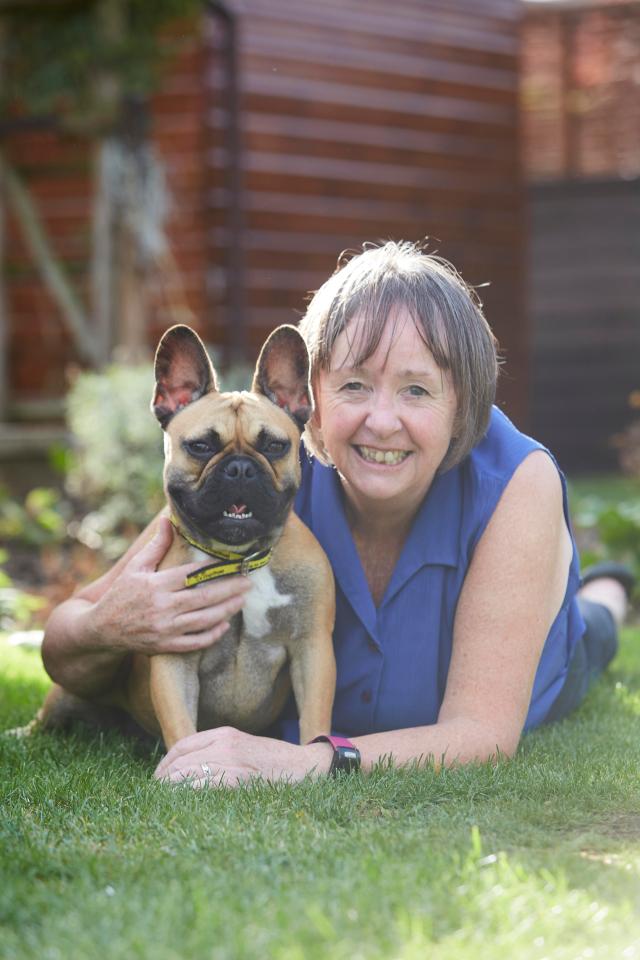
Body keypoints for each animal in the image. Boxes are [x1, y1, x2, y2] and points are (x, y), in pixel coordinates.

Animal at [33, 326, 338, 752]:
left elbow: (314, 722)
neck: (237, 559)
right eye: (201, 446)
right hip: (73, 683)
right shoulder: (174, 657)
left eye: (275, 446)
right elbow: (181, 725)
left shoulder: (312, 649)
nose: (240, 468)